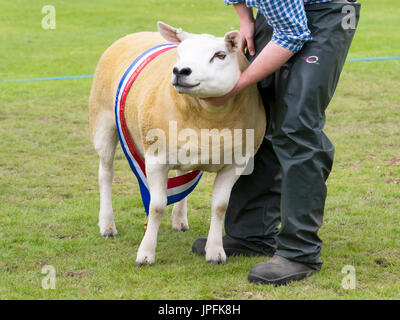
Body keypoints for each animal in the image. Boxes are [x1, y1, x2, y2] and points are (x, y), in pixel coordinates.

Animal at [89, 20, 268, 264]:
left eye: (220, 55)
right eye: (180, 53)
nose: (180, 71)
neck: (208, 117)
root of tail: (133, 35)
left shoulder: (236, 163)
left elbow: (220, 207)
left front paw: (215, 251)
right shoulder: (156, 158)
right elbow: (156, 206)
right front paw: (146, 254)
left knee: (182, 176)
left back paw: (179, 220)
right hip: (103, 122)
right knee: (105, 174)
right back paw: (107, 225)